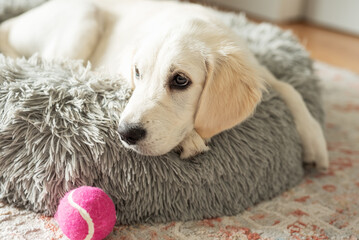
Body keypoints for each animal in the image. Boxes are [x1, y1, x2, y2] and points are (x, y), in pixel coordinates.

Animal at [0, 0, 330, 170]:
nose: (126, 133)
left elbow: (290, 89)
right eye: (137, 73)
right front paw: (190, 140)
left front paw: (315, 140)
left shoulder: (257, 67)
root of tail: (13, 21)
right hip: (84, 17)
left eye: (180, 80)